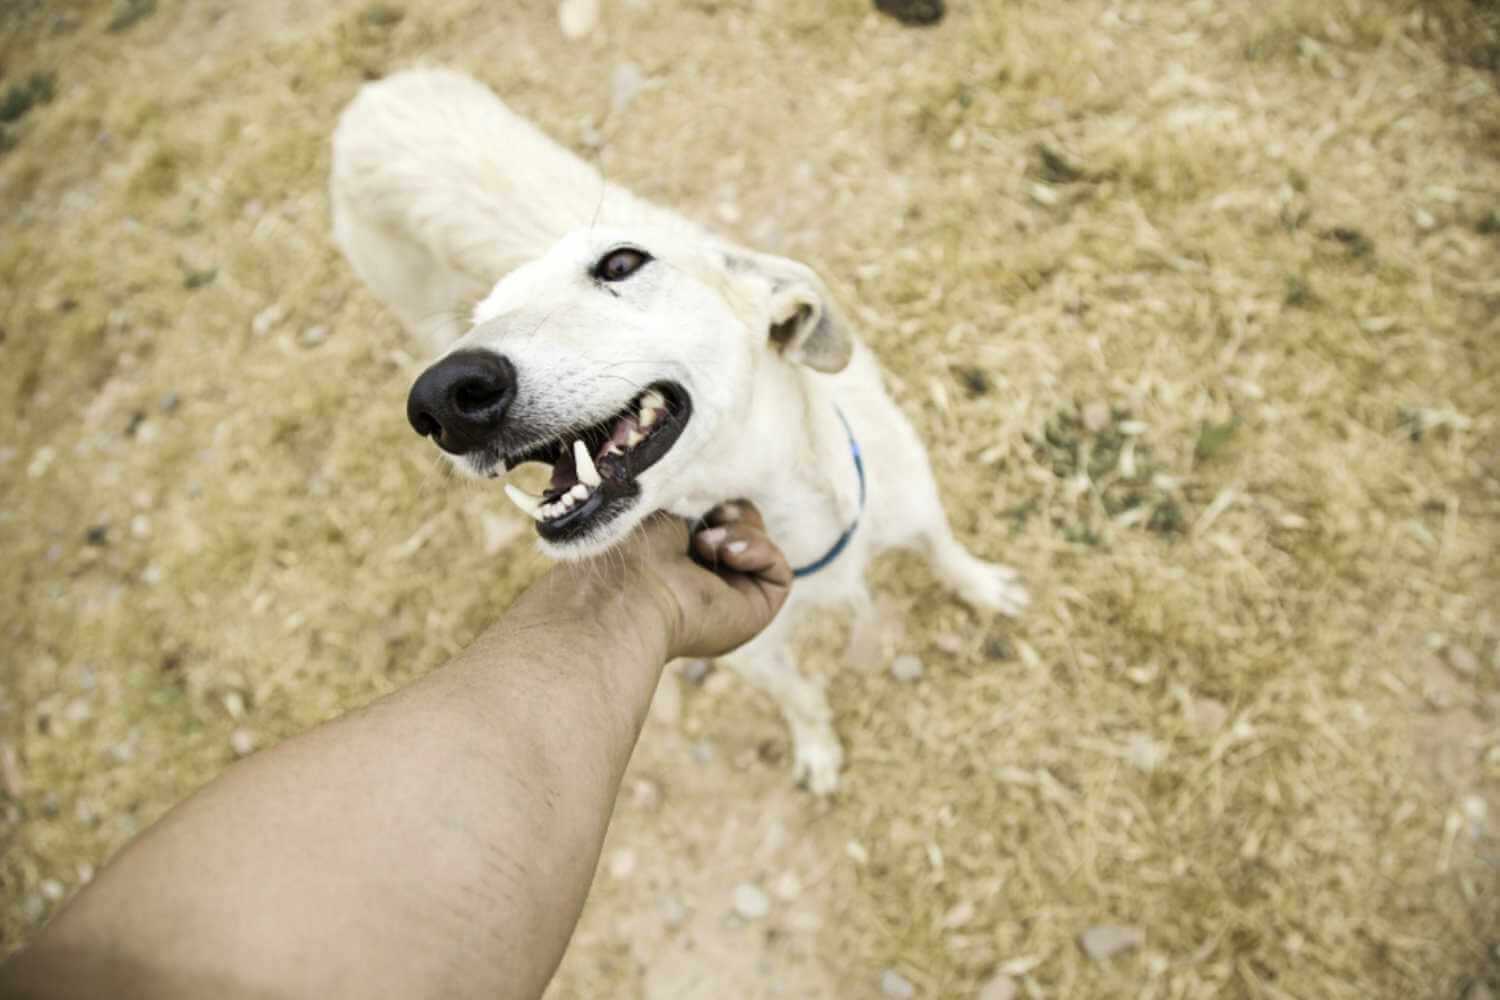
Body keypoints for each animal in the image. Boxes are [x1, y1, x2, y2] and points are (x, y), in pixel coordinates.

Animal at [333, 66, 1026, 791]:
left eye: (620, 262)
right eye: (484, 315)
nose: (441, 398)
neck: (790, 511)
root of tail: (380, 91)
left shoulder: (911, 497)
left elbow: (945, 549)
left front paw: (984, 586)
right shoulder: (752, 645)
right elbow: (800, 696)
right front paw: (817, 748)